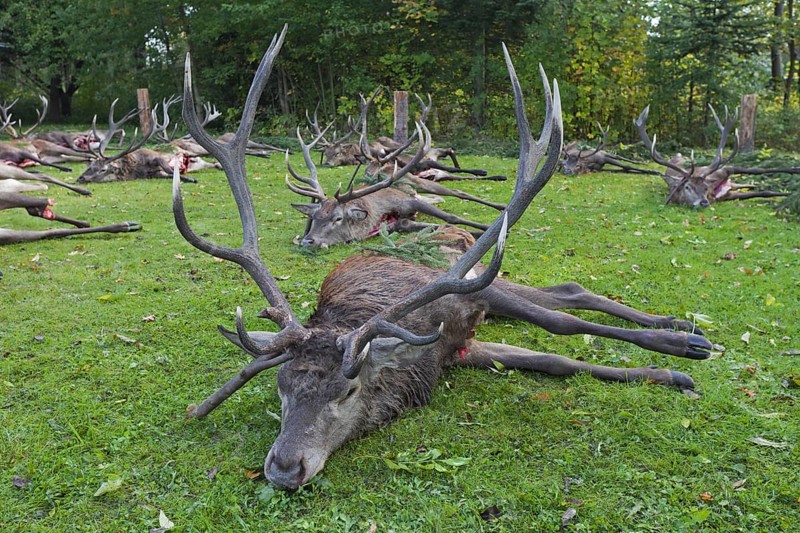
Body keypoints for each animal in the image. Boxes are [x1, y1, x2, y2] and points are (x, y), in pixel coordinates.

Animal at [171, 27, 714, 490]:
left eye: (347, 392)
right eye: (281, 386)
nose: (285, 468)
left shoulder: (459, 312)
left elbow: (559, 334)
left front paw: (676, 360)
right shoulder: (457, 350)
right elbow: (553, 361)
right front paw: (665, 375)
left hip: (480, 280)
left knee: (562, 303)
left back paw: (683, 334)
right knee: (561, 295)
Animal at [634, 105, 799, 207]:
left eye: (705, 186)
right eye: (687, 187)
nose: (704, 202)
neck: (713, 194)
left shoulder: (722, 172)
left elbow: (761, 176)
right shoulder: (728, 196)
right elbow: (765, 193)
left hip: (726, 169)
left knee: (757, 171)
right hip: (732, 184)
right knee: (746, 184)